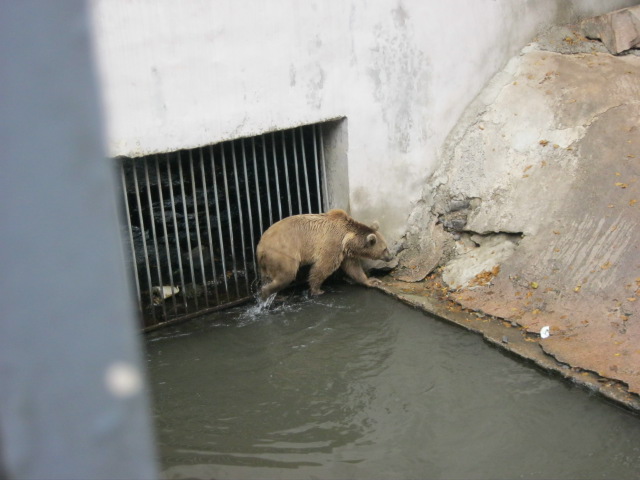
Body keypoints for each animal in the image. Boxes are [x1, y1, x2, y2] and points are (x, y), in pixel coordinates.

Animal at [256, 209, 394, 300]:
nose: (390, 257)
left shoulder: (345, 252)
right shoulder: (333, 244)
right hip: (283, 253)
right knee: (287, 275)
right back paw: (266, 292)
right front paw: (317, 290)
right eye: (385, 249)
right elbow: (323, 267)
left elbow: (353, 268)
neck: (348, 237)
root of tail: (260, 246)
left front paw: (372, 281)